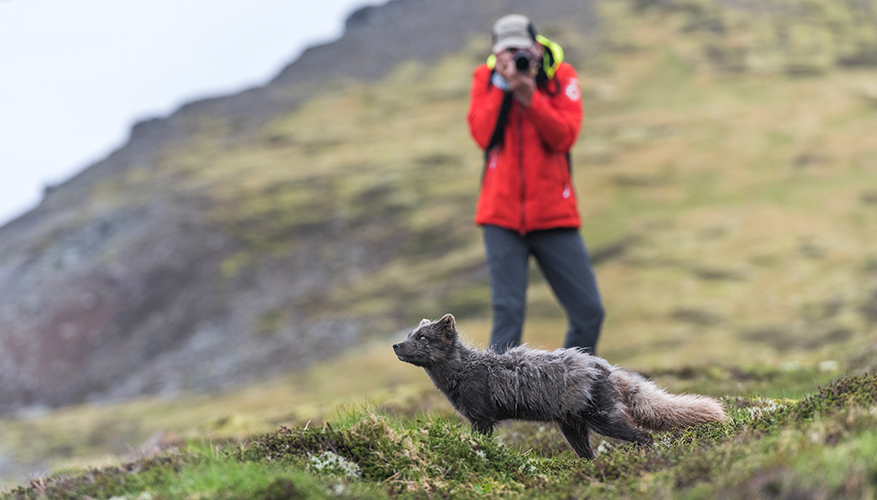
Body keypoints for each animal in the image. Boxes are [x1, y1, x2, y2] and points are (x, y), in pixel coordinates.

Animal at [396, 314, 724, 458]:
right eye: (411, 334)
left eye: (422, 338)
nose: (396, 345)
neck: (465, 370)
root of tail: (608, 369)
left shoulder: (481, 419)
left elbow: (480, 443)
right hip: (572, 428)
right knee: (589, 455)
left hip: (604, 420)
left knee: (644, 437)